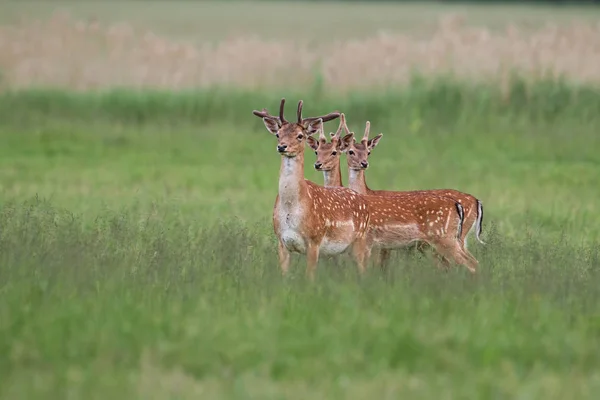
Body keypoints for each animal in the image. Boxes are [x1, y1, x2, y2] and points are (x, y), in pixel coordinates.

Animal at [251, 99, 372, 282]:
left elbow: (310, 278)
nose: (282, 147)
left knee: (364, 271)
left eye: (300, 135)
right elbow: (284, 276)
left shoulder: (314, 240)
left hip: (360, 240)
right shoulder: (281, 241)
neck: (292, 209)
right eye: (278, 134)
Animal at [338, 117, 482, 274]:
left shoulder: (374, 243)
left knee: (471, 264)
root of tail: (476, 201)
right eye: (350, 152)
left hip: (447, 237)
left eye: (368, 152)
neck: (366, 192)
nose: (364, 163)